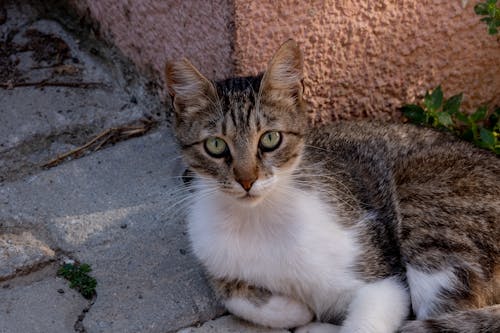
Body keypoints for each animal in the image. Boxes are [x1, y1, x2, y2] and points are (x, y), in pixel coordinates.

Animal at [166, 40, 498, 330]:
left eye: (270, 139)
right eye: (215, 145)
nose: (247, 180)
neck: (258, 216)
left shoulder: (383, 281)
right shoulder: (215, 259)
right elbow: (232, 292)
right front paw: (297, 308)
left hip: (428, 208)